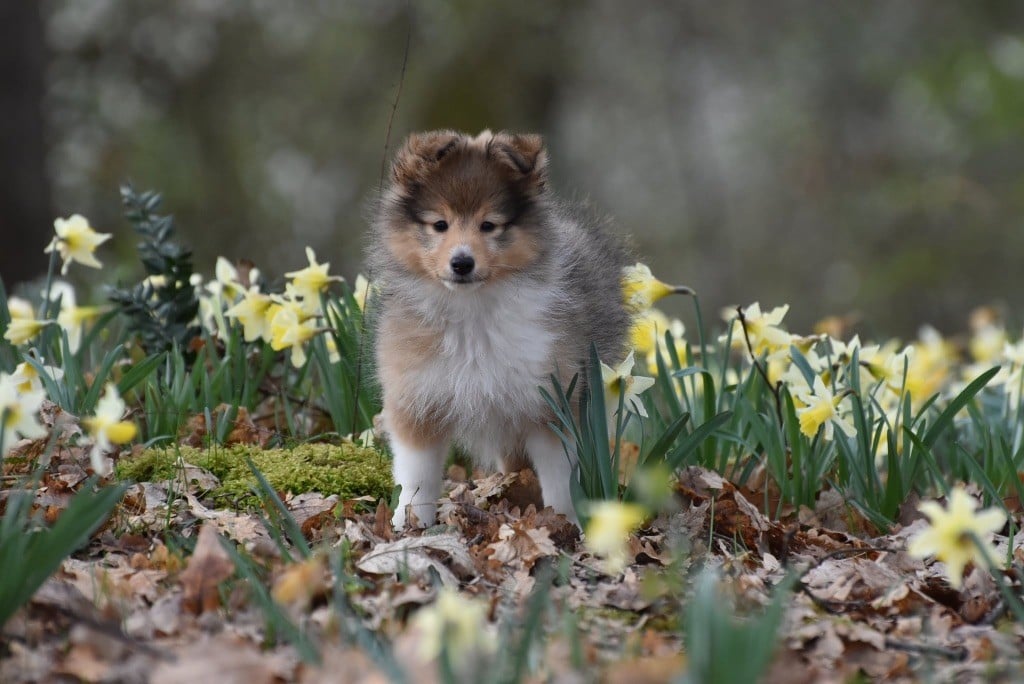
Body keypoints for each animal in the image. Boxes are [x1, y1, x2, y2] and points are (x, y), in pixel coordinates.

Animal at [370, 129, 630, 528]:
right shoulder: (416, 398)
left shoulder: (551, 402)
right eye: (440, 225)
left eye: (488, 225)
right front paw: (408, 522)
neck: (471, 313)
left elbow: (559, 476)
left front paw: (563, 522)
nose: (462, 263)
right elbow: (417, 474)